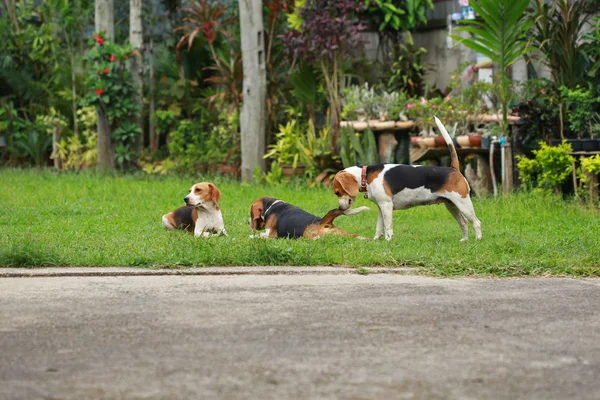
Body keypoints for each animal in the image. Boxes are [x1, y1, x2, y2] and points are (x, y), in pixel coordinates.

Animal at [332, 115, 482, 241]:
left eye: (337, 192)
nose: (339, 208)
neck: (366, 175)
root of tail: (453, 169)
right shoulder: (381, 207)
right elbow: (379, 227)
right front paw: (375, 240)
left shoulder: (386, 205)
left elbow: (388, 227)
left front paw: (388, 241)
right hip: (452, 205)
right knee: (463, 222)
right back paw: (464, 240)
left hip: (463, 203)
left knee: (476, 222)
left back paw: (478, 240)